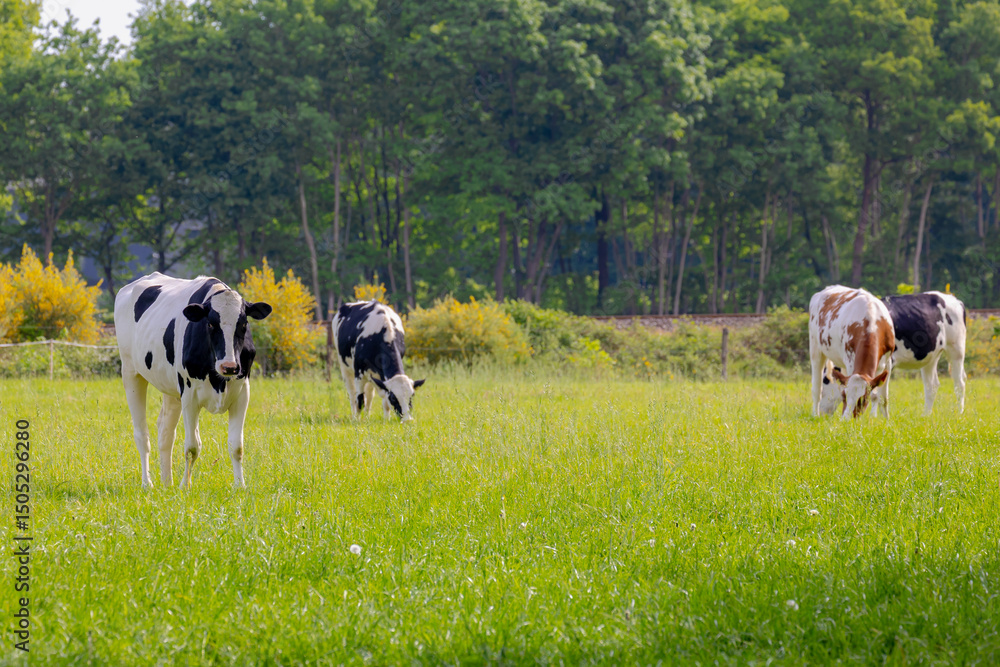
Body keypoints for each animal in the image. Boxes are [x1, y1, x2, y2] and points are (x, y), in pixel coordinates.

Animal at [114, 273, 272, 488]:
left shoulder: (242, 392)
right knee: (141, 433)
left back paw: (167, 483)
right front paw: (185, 486)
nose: (229, 366)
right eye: (210, 324)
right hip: (131, 372)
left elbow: (236, 446)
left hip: (171, 388)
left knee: (165, 432)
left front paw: (240, 486)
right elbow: (192, 447)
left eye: (243, 325)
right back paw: (148, 483)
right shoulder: (189, 395)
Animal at [809, 285, 895, 419]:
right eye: (844, 396)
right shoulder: (850, 360)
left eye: (863, 399)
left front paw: (885, 419)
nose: (846, 420)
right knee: (817, 388)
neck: (871, 322)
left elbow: (881, 397)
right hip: (815, 348)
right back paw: (815, 415)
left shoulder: (888, 362)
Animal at [819, 291, 967, 415]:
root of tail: (954, 299)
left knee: (959, 384)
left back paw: (959, 413)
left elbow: (877, 394)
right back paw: (926, 415)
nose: (822, 413)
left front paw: (873, 418)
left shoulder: (888, 362)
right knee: (932, 386)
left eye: (825, 380)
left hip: (956, 350)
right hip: (931, 357)